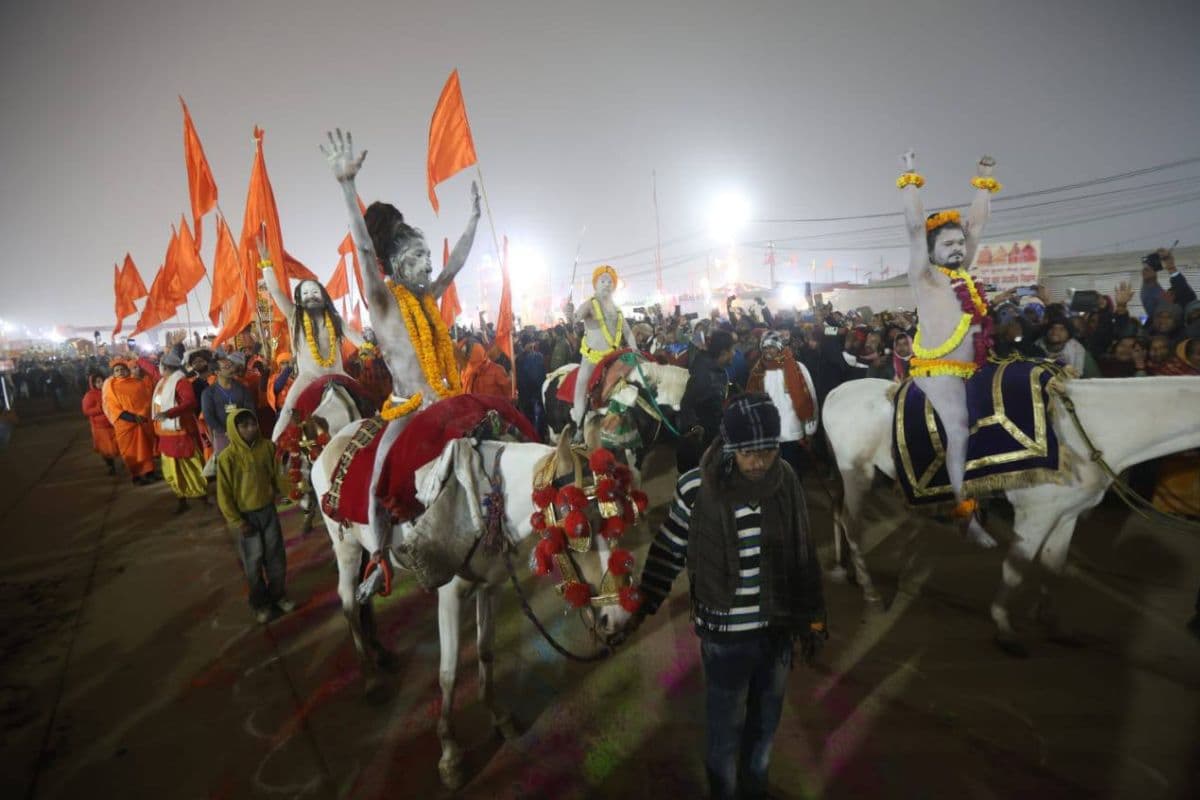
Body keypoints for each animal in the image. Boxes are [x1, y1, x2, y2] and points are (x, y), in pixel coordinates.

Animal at [314, 424, 643, 786]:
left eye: (618, 519)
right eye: (578, 529)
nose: (618, 616)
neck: (490, 500)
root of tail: (330, 443)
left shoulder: (491, 588)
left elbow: (485, 651)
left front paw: (499, 718)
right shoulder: (449, 597)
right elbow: (449, 673)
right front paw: (450, 755)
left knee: (366, 598)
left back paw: (381, 654)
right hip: (345, 549)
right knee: (349, 604)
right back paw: (371, 678)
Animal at [825, 376, 1200, 657]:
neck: (1093, 427)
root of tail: (836, 392)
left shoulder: (1066, 514)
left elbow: (1055, 566)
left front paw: (1053, 623)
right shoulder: (1035, 515)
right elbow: (1016, 570)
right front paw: (1004, 628)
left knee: (840, 515)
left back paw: (853, 572)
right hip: (858, 473)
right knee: (853, 525)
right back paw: (871, 594)